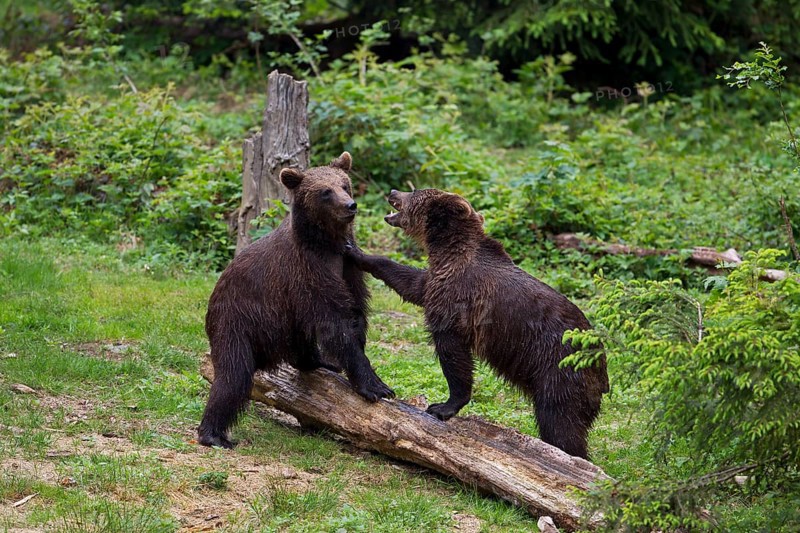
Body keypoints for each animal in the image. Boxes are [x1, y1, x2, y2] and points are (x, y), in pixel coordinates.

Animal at [198, 152, 395, 449]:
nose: (350, 205)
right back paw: (213, 434)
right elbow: (334, 324)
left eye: (344, 184)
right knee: (234, 375)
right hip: (237, 320)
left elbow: (355, 310)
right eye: (325, 192)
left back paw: (318, 361)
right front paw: (376, 385)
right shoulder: (307, 272)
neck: (326, 244)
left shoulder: (348, 266)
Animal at [345, 188, 609, 458]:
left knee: (559, 422)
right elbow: (411, 283)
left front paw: (442, 406)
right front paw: (355, 251)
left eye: (415, 192)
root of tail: (601, 364)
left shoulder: (459, 299)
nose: (393, 192)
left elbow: (453, 352)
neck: (447, 252)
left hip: (558, 369)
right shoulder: (437, 280)